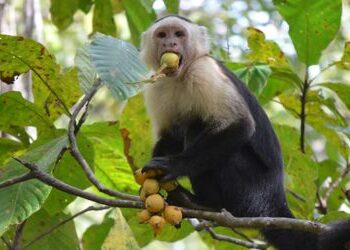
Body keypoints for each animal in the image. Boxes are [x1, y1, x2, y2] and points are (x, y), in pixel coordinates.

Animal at [139, 14, 350, 249]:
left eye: (179, 34)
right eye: (162, 35)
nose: (170, 43)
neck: (181, 75)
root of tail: (275, 200)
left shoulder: (205, 71)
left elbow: (240, 125)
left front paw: (174, 165)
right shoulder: (156, 85)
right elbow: (169, 135)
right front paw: (149, 182)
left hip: (251, 192)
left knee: (201, 129)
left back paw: (205, 203)